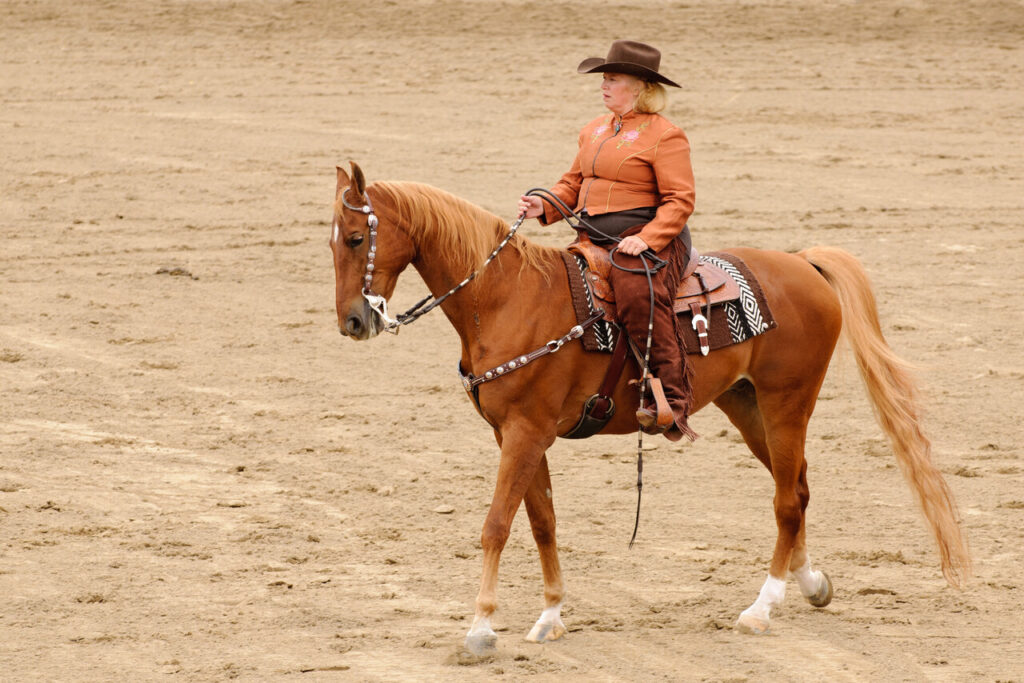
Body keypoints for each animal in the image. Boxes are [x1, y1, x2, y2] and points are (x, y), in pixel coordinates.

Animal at [329, 162, 969, 650]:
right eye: (332, 240)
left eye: (358, 238)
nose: (353, 322)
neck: (509, 297)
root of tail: (802, 261)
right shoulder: (513, 434)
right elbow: (542, 522)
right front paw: (550, 615)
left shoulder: (526, 432)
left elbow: (496, 525)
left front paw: (481, 629)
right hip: (747, 406)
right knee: (801, 489)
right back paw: (810, 584)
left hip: (789, 401)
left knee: (787, 501)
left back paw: (762, 606)